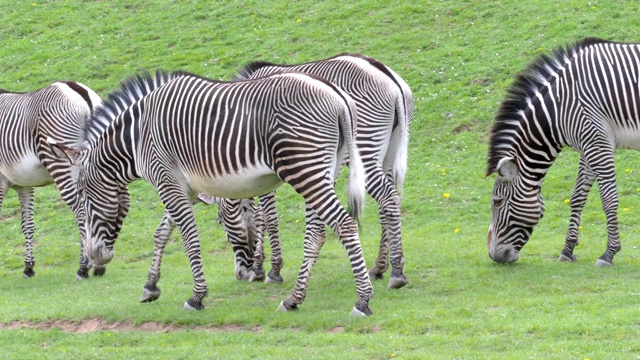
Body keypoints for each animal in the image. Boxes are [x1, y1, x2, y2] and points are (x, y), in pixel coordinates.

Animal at [0, 81, 102, 278]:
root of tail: (78, 90)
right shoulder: (25, 185)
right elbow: (27, 225)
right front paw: (29, 267)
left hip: (61, 162)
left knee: (81, 212)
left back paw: (83, 267)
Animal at [55, 69, 376, 316]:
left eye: (82, 193)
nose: (93, 258)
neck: (137, 137)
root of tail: (336, 94)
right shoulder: (184, 188)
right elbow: (162, 232)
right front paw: (150, 286)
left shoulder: (167, 181)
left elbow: (189, 239)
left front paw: (197, 297)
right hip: (324, 170)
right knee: (317, 233)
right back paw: (294, 299)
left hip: (305, 169)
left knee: (344, 224)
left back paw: (362, 300)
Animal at [488, 38, 640, 266]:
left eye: (497, 201)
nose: (494, 257)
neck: (559, 108)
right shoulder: (588, 145)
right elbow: (577, 196)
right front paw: (567, 250)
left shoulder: (597, 142)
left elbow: (609, 199)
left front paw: (609, 253)